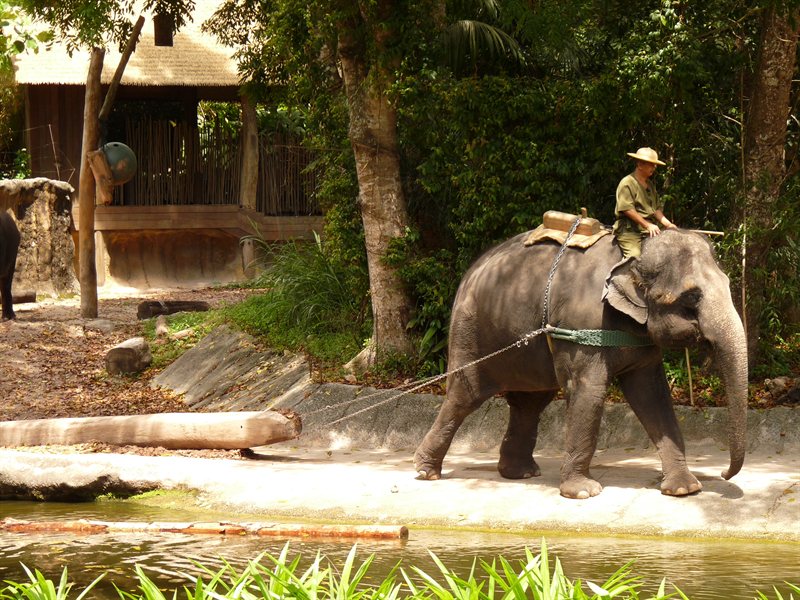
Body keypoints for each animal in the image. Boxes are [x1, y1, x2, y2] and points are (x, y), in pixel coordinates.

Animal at [414, 228, 748, 499]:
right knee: (465, 394)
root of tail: (470, 272)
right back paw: (425, 471)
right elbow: (589, 391)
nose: (722, 473)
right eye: (692, 297)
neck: (630, 255)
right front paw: (584, 492)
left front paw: (684, 489)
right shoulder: (582, 325)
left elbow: (652, 396)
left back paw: (520, 473)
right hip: (470, 331)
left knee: (529, 403)